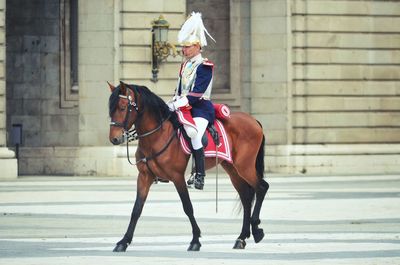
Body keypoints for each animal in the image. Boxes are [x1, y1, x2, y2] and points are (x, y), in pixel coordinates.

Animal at [107, 81, 268, 251]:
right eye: (110, 108)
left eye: (122, 107)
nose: (114, 139)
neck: (157, 136)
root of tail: (253, 120)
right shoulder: (145, 177)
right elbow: (136, 209)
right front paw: (123, 241)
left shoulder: (177, 177)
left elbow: (187, 206)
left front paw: (195, 239)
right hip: (232, 169)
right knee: (246, 197)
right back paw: (242, 238)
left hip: (244, 166)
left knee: (261, 187)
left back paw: (256, 228)